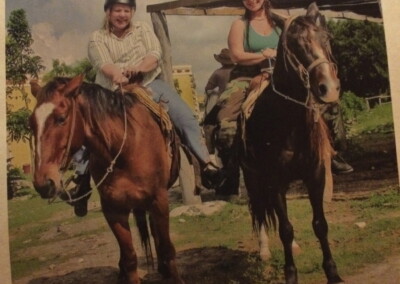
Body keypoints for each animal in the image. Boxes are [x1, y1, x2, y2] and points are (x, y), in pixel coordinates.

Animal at [29, 76, 184, 284]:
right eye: (31, 123)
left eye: (61, 118)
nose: (43, 183)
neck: (124, 148)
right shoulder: (113, 210)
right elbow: (130, 258)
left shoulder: (159, 200)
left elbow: (167, 249)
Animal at [239, 3, 346, 284]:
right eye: (295, 45)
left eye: (327, 38)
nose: (329, 88)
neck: (287, 121)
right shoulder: (274, 181)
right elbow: (285, 229)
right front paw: (290, 274)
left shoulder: (316, 175)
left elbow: (320, 224)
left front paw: (333, 272)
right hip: (253, 179)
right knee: (261, 214)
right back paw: (265, 251)